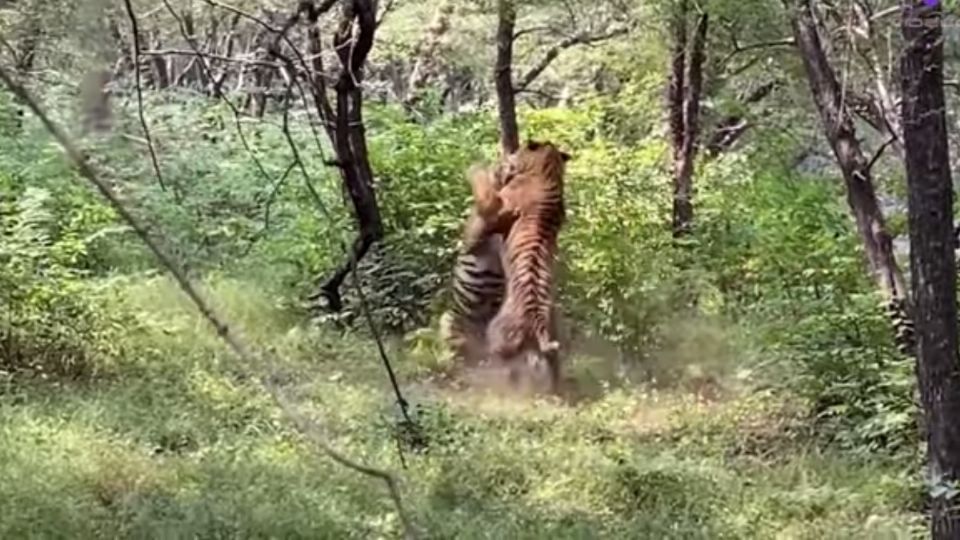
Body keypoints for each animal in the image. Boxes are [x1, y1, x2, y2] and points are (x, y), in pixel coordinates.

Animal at [466, 139, 568, 392]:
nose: (508, 157)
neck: (548, 171)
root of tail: (537, 319)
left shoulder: (495, 209)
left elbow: (483, 189)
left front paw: (475, 168)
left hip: (495, 332)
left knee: (503, 363)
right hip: (547, 342)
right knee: (544, 365)